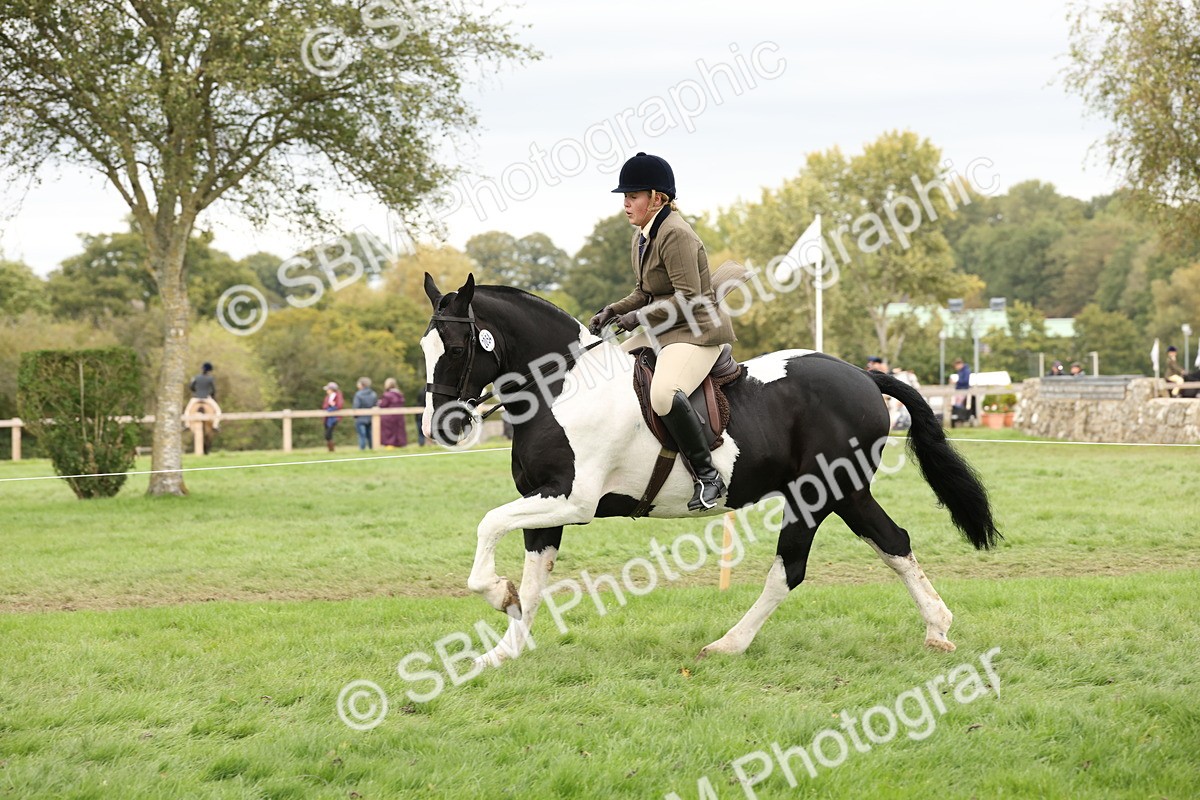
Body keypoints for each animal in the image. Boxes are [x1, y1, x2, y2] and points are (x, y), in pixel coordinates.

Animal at [421, 274, 1000, 668]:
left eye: (456, 346)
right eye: (424, 347)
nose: (440, 426)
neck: (561, 387)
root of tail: (862, 374)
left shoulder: (571, 499)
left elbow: (489, 526)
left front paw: (499, 595)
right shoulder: (546, 501)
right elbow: (535, 579)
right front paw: (505, 648)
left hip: (823, 492)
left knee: (797, 566)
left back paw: (729, 644)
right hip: (838, 493)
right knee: (889, 543)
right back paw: (937, 628)